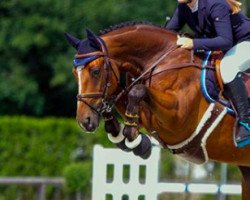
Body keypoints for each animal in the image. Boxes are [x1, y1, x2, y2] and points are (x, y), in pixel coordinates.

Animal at [65, 21, 250, 198]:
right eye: (74, 73)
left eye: (95, 71)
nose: (84, 121)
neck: (162, 61)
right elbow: (124, 96)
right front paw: (119, 133)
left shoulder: (177, 119)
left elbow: (137, 91)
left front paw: (136, 141)